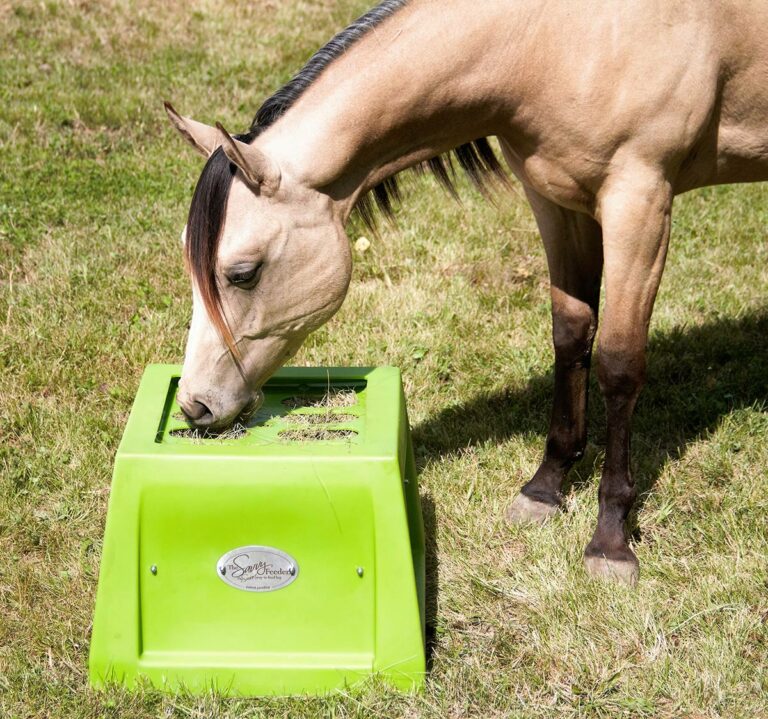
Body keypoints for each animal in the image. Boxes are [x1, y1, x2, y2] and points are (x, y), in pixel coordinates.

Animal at [164, 0, 768, 584]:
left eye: (243, 273)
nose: (195, 405)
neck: (556, 40)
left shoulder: (639, 203)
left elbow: (619, 364)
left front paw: (610, 542)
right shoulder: (555, 200)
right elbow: (571, 335)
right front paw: (544, 489)